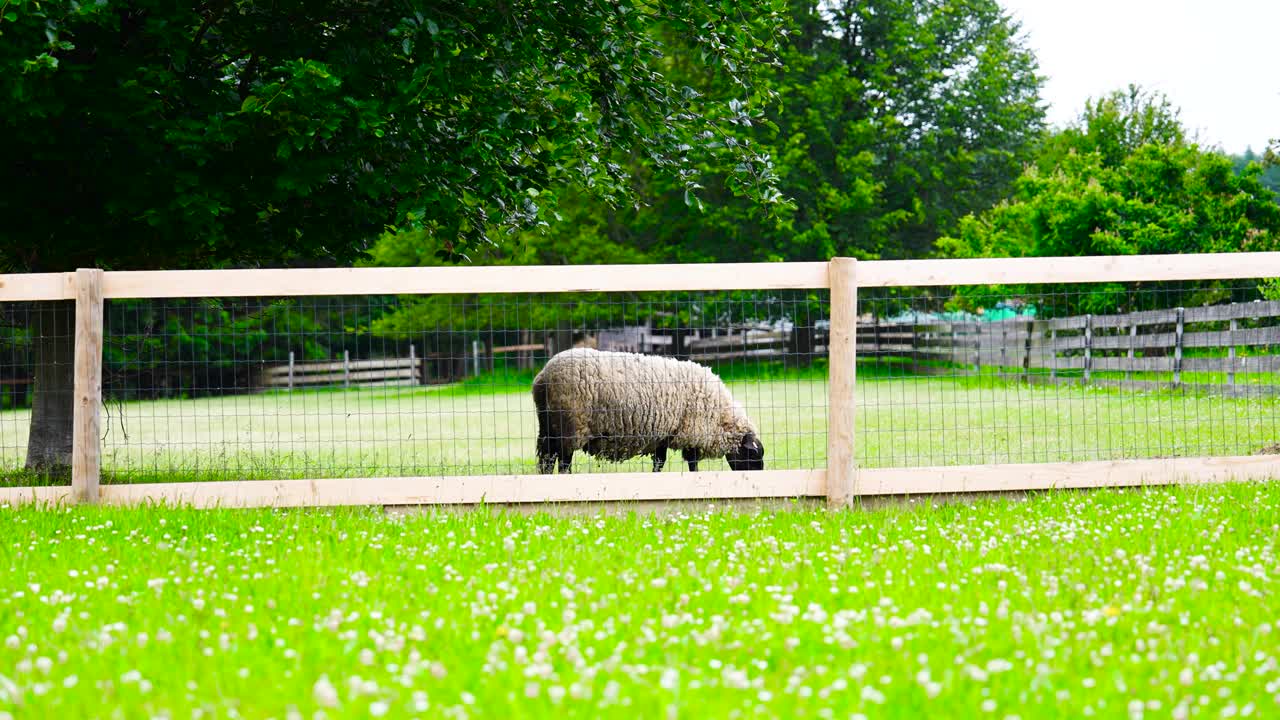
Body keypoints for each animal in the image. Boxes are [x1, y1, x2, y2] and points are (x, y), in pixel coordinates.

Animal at [527, 345, 757, 471]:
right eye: (754, 457)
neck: (720, 417)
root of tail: (542, 378)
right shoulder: (691, 432)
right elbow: (691, 463)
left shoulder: (664, 434)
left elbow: (660, 462)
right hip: (569, 429)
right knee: (563, 463)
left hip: (549, 427)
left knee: (547, 460)